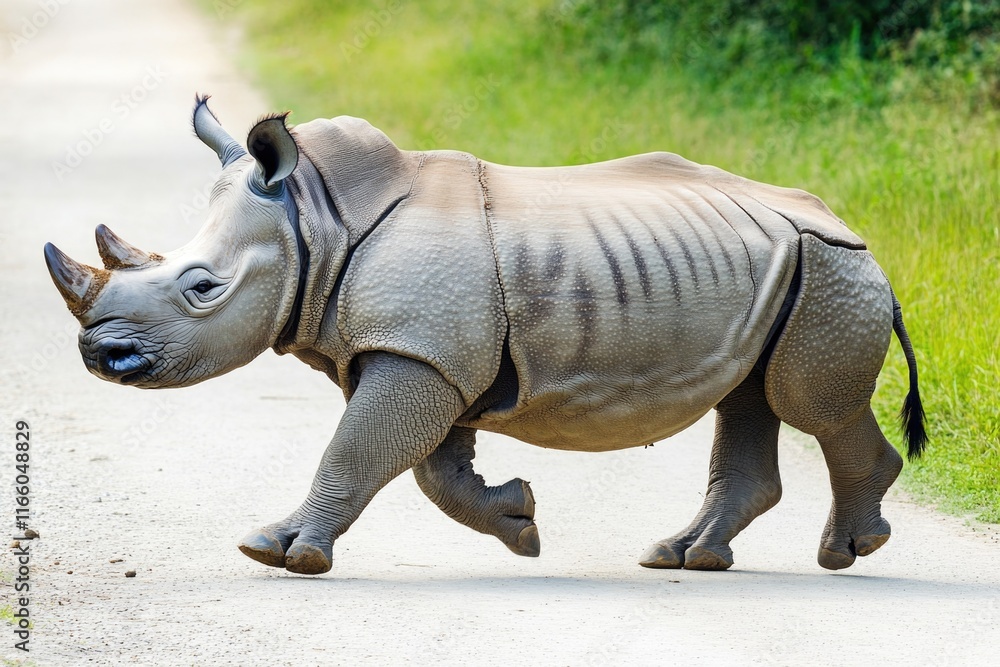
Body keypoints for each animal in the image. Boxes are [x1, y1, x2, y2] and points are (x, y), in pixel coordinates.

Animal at [44, 96, 926, 575]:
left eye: (202, 289)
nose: (99, 356)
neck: (317, 221)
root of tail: (861, 237)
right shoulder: (429, 352)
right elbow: (429, 468)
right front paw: (520, 522)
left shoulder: (419, 350)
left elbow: (358, 450)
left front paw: (279, 550)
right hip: (789, 271)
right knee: (748, 399)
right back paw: (680, 557)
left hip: (830, 271)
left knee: (808, 405)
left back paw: (847, 551)